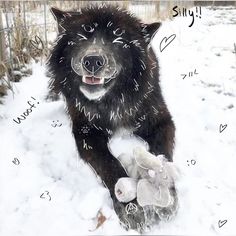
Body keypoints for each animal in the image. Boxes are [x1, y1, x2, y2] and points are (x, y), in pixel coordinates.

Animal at [48, 4, 177, 231]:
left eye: (118, 38)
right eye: (83, 35)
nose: (92, 61)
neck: (112, 102)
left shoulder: (161, 122)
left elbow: (162, 157)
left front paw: (166, 196)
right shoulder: (86, 133)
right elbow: (109, 163)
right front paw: (130, 207)